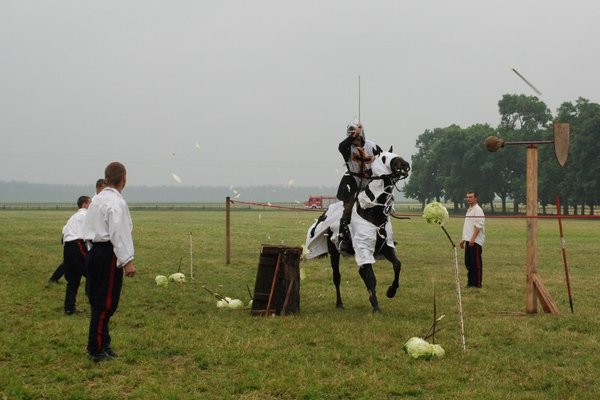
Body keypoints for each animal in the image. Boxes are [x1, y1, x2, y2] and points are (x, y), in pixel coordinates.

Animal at [308, 150, 410, 312]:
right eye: (384, 158)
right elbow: (371, 277)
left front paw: (391, 291)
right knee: (337, 277)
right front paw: (376, 307)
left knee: (361, 272)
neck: (373, 214)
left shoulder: (385, 248)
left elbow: (397, 265)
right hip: (334, 252)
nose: (405, 165)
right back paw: (340, 304)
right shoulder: (363, 248)